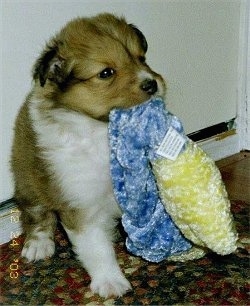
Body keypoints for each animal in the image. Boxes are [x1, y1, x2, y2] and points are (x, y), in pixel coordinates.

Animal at [11, 13, 166, 298]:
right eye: (106, 73)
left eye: (141, 58)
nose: (152, 84)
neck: (102, 131)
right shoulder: (80, 202)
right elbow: (96, 247)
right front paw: (110, 281)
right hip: (28, 176)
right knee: (36, 214)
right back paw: (38, 244)